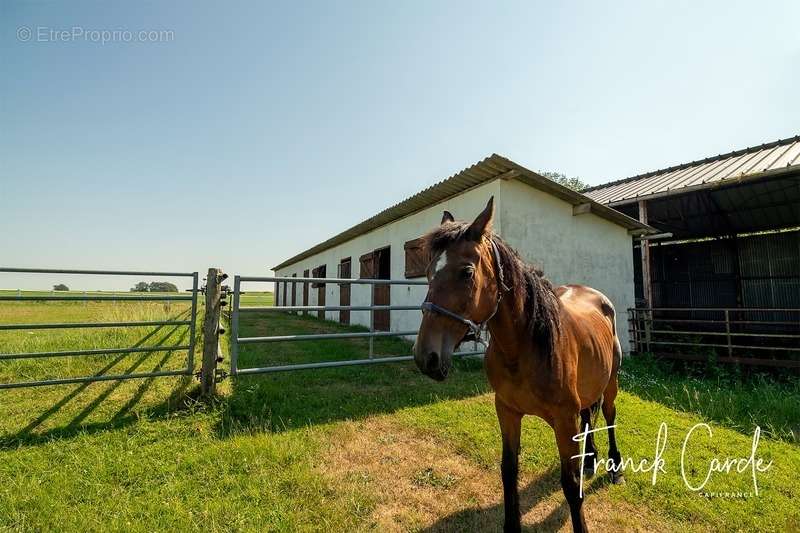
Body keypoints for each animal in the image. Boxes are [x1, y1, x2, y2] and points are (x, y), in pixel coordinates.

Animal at [412, 196, 624, 532]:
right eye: (430, 272)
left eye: (467, 273)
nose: (426, 357)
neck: (524, 347)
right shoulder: (507, 411)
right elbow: (508, 471)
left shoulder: (564, 420)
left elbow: (569, 485)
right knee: (589, 416)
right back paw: (591, 459)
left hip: (611, 382)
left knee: (608, 415)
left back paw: (615, 466)